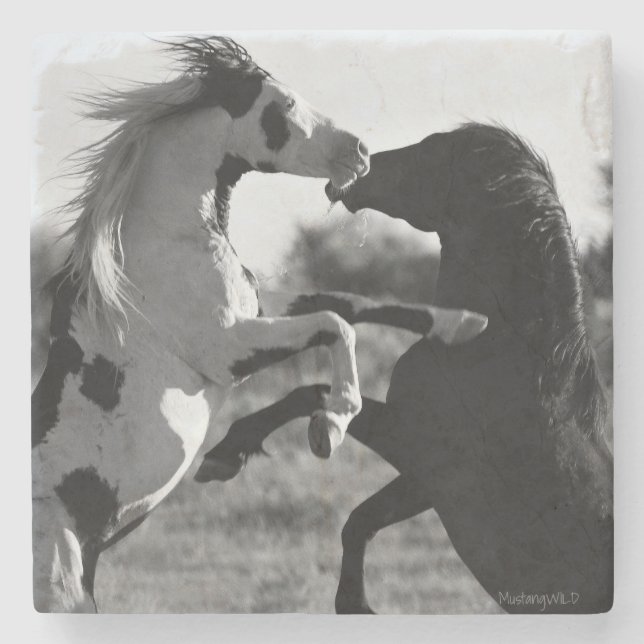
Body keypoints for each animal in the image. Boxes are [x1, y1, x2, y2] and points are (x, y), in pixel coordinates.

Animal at [31, 36, 487, 612]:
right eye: (284, 104)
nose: (360, 153)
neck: (161, 247)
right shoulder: (228, 350)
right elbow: (337, 324)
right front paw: (330, 426)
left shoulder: (258, 315)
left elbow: (353, 302)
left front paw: (464, 322)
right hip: (60, 584)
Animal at [201, 124, 613, 614]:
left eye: (426, 151)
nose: (354, 166)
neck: (499, 356)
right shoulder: (426, 482)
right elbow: (360, 516)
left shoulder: (419, 448)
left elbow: (316, 400)